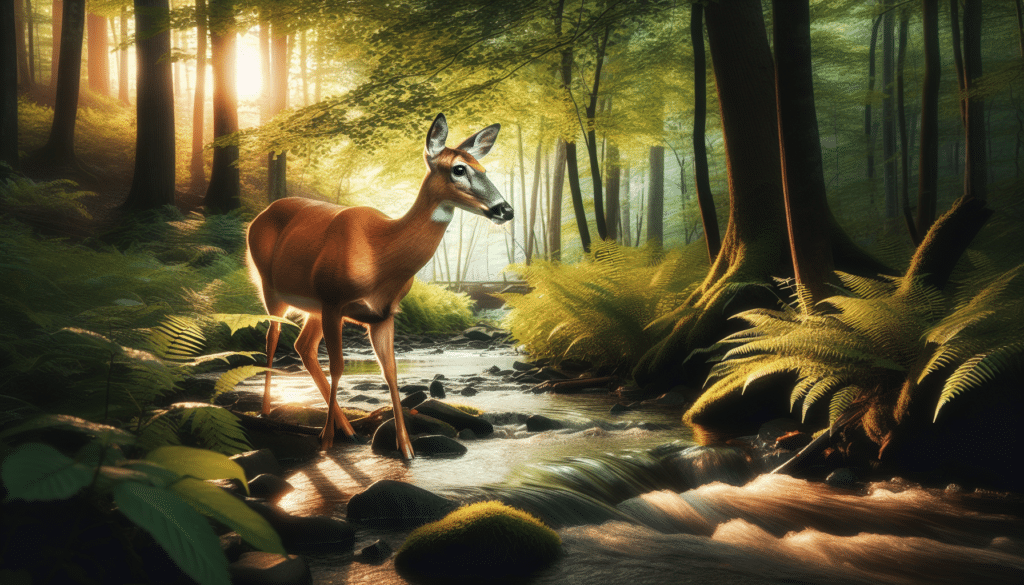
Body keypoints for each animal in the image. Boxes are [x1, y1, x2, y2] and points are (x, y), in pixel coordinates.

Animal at [246, 114, 512, 459]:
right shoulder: (334, 301)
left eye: (484, 169)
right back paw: (270, 413)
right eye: (459, 169)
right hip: (272, 289)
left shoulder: (383, 314)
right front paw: (326, 441)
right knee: (272, 338)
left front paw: (407, 449)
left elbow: (391, 372)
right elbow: (339, 366)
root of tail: (260, 215)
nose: (506, 210)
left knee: (303, 347)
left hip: (313, 308)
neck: (379, 253)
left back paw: (348, 429)